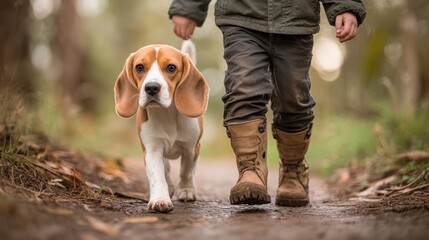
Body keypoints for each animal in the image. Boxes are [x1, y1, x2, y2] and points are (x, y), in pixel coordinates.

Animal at [113, 40, 208, 213]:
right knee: (166, 168)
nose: (151, 87)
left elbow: (186, 171)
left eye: (171, 68)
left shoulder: (191, 148)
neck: (167, 114)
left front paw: (186, 190)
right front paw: (160, 199)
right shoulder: (152, 149)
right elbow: (158, 175)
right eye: (139, 67)